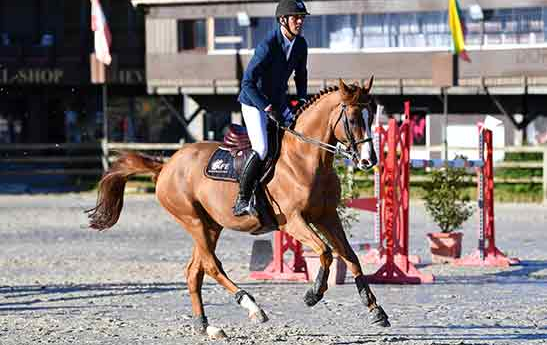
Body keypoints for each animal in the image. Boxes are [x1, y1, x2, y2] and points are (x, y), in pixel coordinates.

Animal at [88, 77, 392, 334]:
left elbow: (349, 256)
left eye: (371, 115)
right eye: (352, 119)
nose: (369, 160)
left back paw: (206, 326)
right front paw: (313, 294)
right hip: (193, 220)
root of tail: (166, 166)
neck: (306, 159)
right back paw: (253, 307)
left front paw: (375, 309)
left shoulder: (327, 216)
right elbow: (326, 252)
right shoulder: (293, 220)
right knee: (212, 266)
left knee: (194, 270)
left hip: (211, 225)